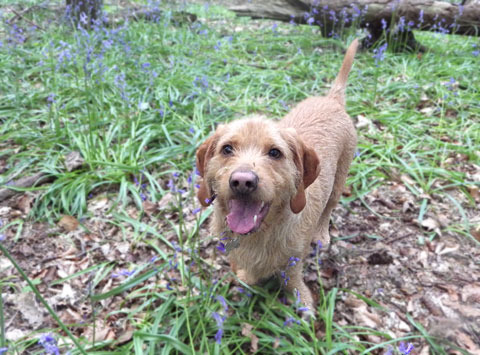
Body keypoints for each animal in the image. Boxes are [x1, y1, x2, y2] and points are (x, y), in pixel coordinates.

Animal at [197, 38, 358, 312]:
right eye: (227, 149)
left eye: (275, 152)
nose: (242, 181)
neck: (261, 233)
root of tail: (332, 100)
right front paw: (248, 278)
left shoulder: (294, 258)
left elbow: (292, 277)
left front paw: (302, 302)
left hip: (338, 182)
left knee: (329, 208)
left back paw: (322, 234)